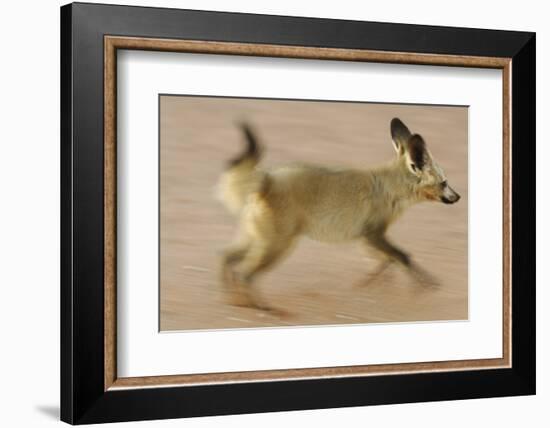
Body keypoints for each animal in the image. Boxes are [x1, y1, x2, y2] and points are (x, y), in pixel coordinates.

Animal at [218, 118, 464, 310]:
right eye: (445, 183)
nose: (459, 197)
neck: (389, 186)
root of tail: (266, 179)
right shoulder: (373, 234)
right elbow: (403, 257)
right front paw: (424, 285)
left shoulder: (367, 237)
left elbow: (388, 260)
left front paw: (373, 284)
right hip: (277, 246)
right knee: (245, 274)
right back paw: (260, 307)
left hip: (259, 241)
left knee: (227, 258)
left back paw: (233, 299)